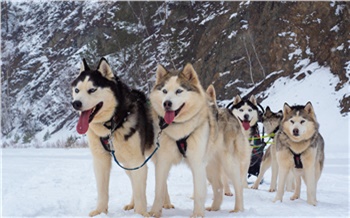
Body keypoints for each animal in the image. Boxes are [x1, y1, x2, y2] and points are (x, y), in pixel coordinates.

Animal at [71, 58, 154, 216]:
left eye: (92, 90)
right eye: (77, 90)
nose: (75, 103)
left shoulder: (137, 161)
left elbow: (141, 192)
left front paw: (141, 213)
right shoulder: (100, 160)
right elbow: (102, 191)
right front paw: (100, 211)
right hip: (126, 163)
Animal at [149, 63, 212, 216]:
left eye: (179, 91)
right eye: (164, 91)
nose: (167, 103)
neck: (179, 130)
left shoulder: (197, 162)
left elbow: (199, 192)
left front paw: (198, 214)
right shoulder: (163, 161)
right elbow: (158, 190)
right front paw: (154, 213)